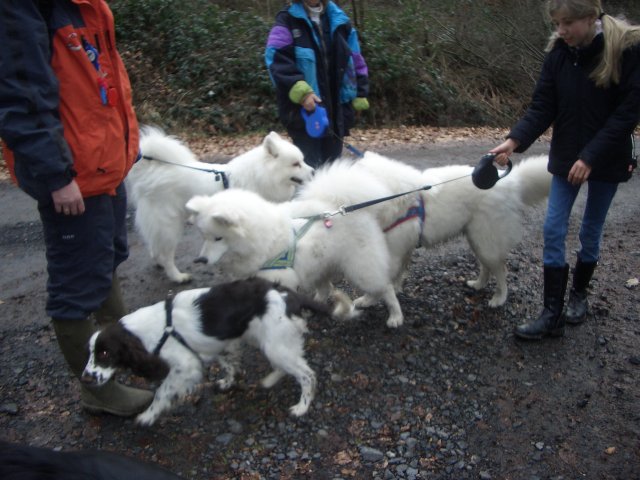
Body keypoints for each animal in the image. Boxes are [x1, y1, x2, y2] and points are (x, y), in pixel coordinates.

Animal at [125, 129, 312, 284]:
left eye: (303, 161)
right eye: (296, 164)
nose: (313, 171)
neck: (260, 176)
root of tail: (149, 173)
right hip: (170, 225)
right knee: (166, 254)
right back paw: (178, 276)